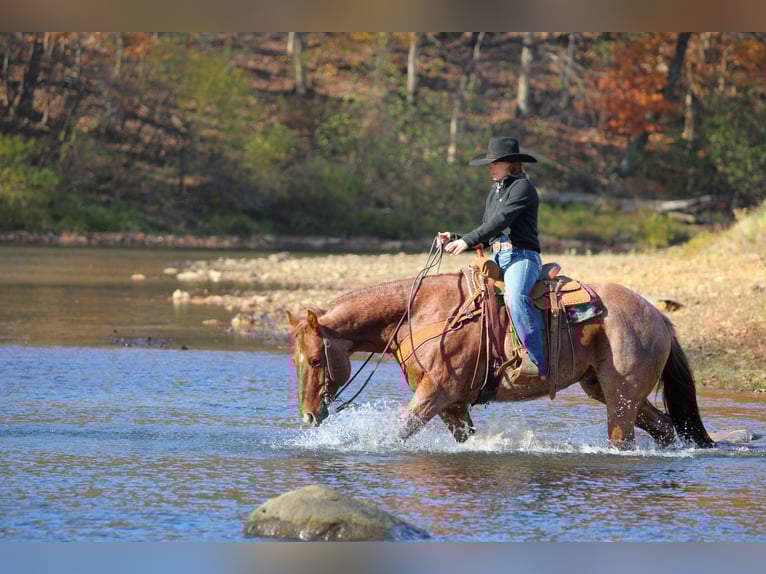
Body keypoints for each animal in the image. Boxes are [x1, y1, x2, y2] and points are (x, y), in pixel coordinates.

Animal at [286, 268, 715, 450]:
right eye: (297, 361)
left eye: (317, 360)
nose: (308, 416)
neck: (421, 312)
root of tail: (658, 317)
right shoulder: (454, 404)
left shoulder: (435, 393)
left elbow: (398, 431)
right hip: (609, 390)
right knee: (666, 429)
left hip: (621, 396)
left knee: (624, 438)